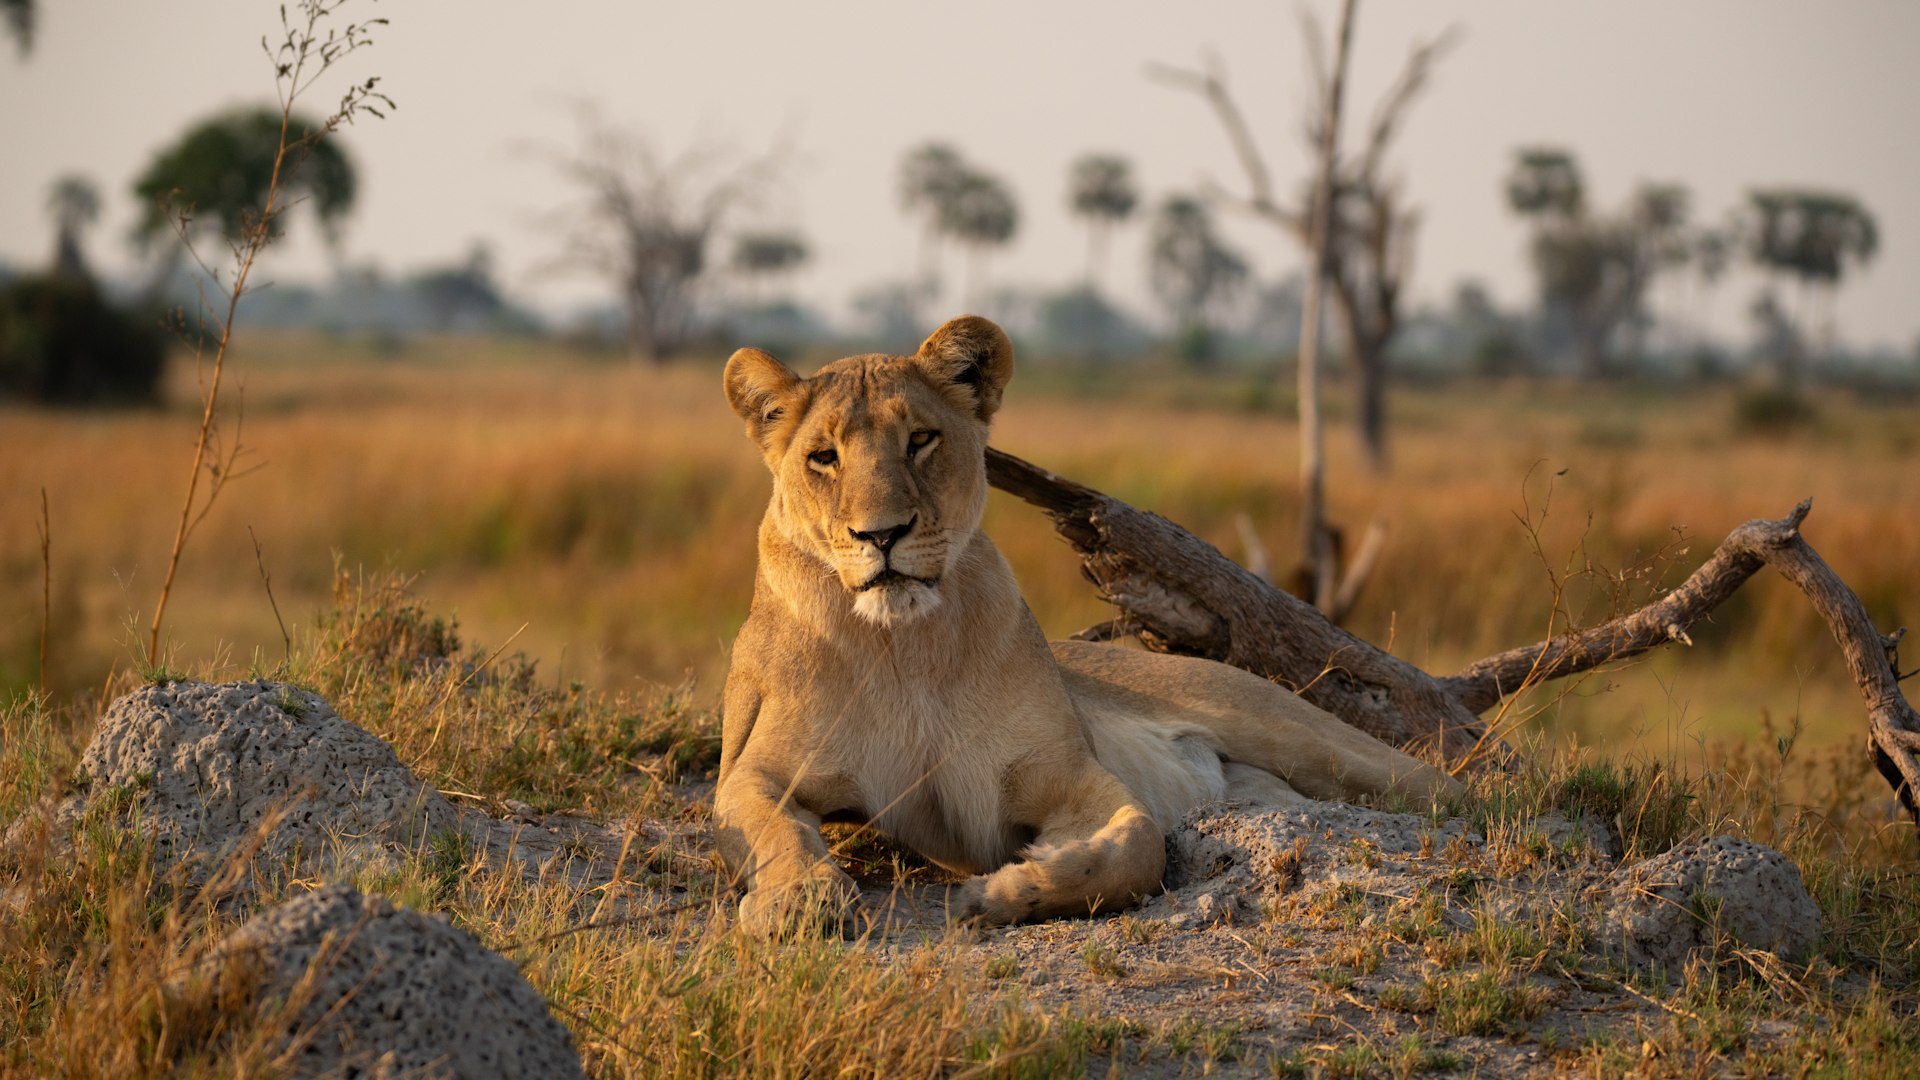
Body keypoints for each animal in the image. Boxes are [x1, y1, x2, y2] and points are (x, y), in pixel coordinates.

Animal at [715, 314, 1461, 931]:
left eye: (921, 440)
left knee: (1454, 788)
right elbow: (771, 826)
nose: (882, 534)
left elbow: (1139, 843)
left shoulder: (1069, 773)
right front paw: (797, 899)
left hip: (1311, 737)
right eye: (824, 457)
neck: (904, 646)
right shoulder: (754, 770)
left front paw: (1005, 893)